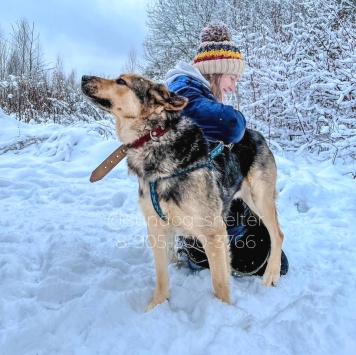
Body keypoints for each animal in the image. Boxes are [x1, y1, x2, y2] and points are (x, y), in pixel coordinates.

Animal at [82, 73, 286, 312]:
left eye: (121, 82)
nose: (84, 77)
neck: (153, 139)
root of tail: (258, 134)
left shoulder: (214, 231)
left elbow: (219, 283)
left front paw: (223, 310)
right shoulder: (157, 228)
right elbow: (162, 275)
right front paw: (157, 305)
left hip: (259, 199)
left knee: (277, 234)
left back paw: (271, 273)